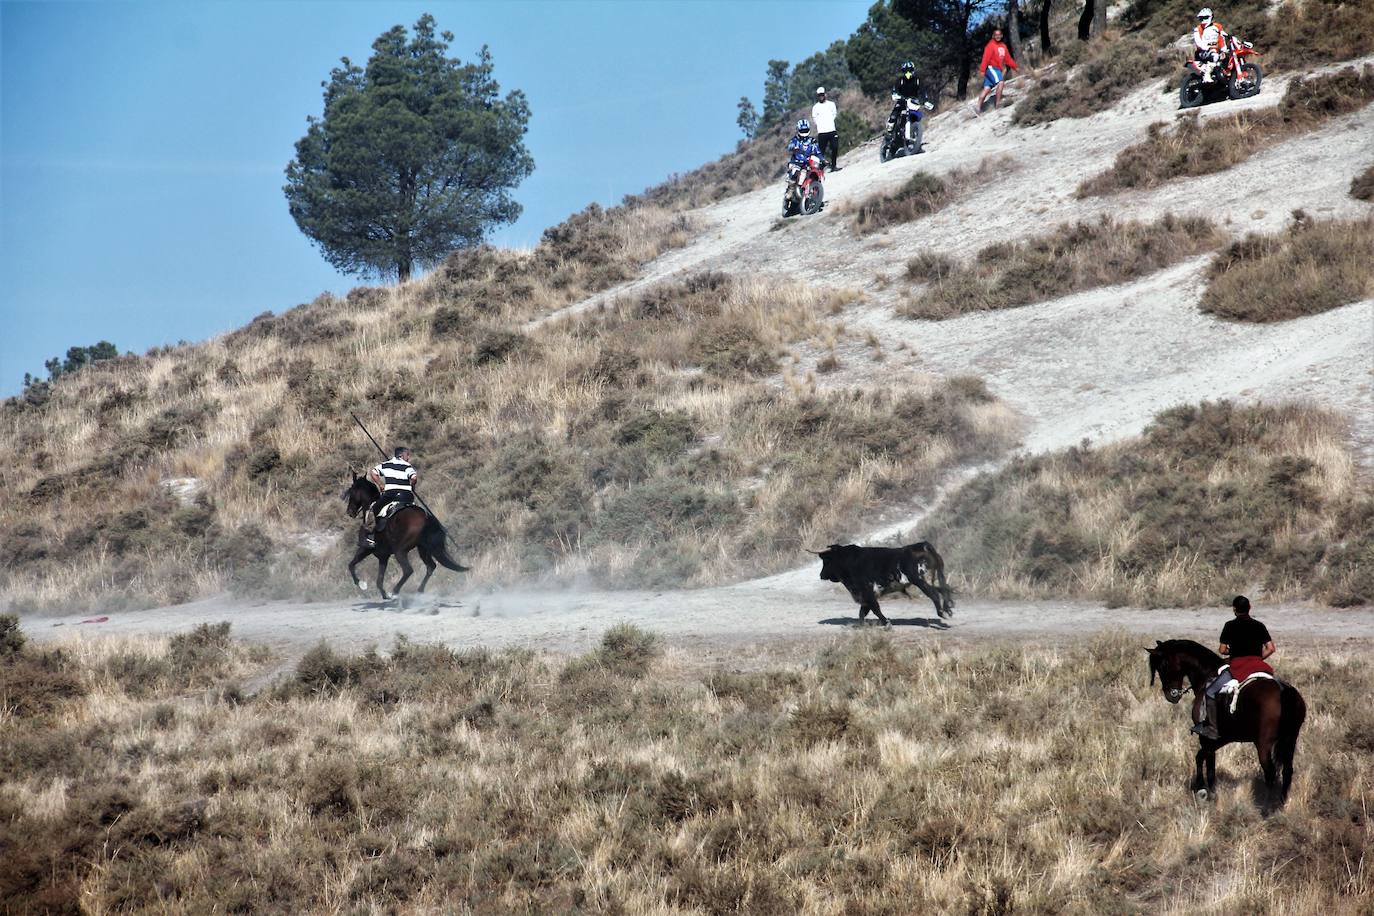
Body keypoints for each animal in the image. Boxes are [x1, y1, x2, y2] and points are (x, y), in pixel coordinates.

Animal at [346, 472, 469, 601]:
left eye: (351, 492)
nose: (350, 511)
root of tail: (425, 517)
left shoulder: (366, 548)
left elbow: (351, 565)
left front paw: (362, 584)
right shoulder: (383, 556)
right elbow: (378, 581)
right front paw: (384, 596)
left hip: (400, 550)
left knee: (408, 570)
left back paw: (395, 592)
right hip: (423, 548)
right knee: (431, 566)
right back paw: (419, 591)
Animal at [813, 541, 956, 626]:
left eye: (826, 560)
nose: (821, 575)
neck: (848, 560)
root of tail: (922, 545)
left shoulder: (866, 592)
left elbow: (875, 609)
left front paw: (886, 622)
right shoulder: (866, 596)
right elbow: (863, 612)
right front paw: (861, 626)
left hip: (920, 580)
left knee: (934, 593)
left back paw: (942, 613)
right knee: (944, 588)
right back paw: (948, 610)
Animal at [1143, 637, 1302, 807]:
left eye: (1163, 666)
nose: (1170, 695)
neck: (1206, 675)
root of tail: (1284, 690)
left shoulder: (1206, 737)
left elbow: (1207, 762)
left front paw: (1206, 791)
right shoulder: (1223, 738)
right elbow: (1201, 757)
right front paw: (1204, 789)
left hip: (1263, 744)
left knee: (1271, 773)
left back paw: (1266, 807)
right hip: (1289, 740)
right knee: (1287, 770)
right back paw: (1282, 802)